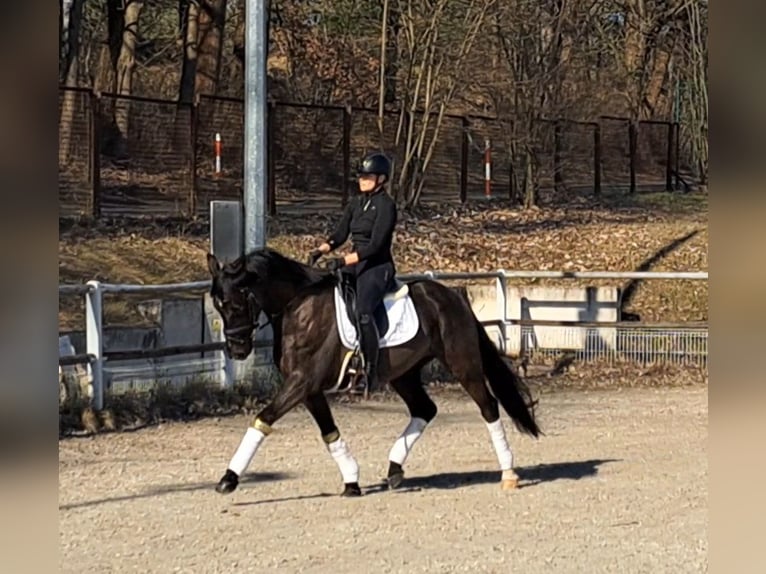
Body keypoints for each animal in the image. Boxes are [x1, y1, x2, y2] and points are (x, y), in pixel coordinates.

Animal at [207, 247, 541, 497]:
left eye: (235, 302)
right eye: (217, 305)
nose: (237, 351)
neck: (299, 307)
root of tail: (453, 296)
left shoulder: (303, 382)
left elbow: (263, 418)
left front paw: (228, 478)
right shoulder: (308, 388)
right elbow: (329, 432)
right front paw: (352, 481)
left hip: (463, 364)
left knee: (488, 406)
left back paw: (508, 472)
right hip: (403, 374)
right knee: (425, 409)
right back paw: (394, 470)